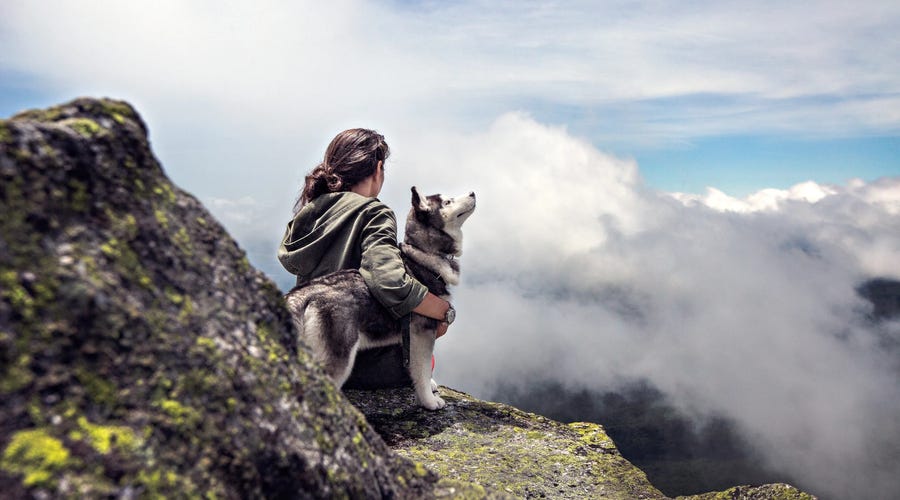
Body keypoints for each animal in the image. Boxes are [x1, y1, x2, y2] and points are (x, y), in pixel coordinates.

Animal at [284, 188, 474, 410]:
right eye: (447, 202)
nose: (473, 192)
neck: (423, 254)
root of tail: (303, 293)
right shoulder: (422, 333)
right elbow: (423, 369)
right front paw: (428, 401)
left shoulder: (409, 338)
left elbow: (415, 368)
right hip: (339, 356)